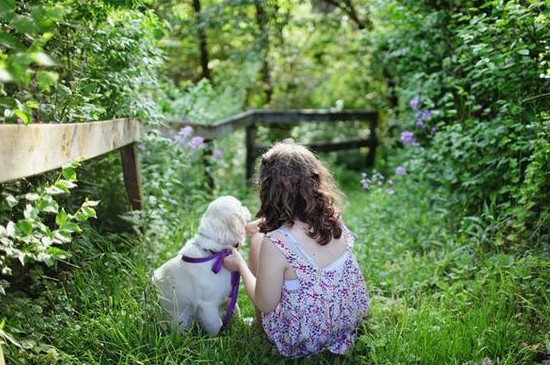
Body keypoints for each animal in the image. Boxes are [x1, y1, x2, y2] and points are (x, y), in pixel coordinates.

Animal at [153, 195, 252, 334]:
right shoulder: (207, 305)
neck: (214, 253)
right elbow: (216, 324)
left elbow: (235, 309)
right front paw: (218, 337)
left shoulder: (229, 295)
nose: (247, 208)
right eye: (240, 205)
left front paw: (243, 323)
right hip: (180, 318)